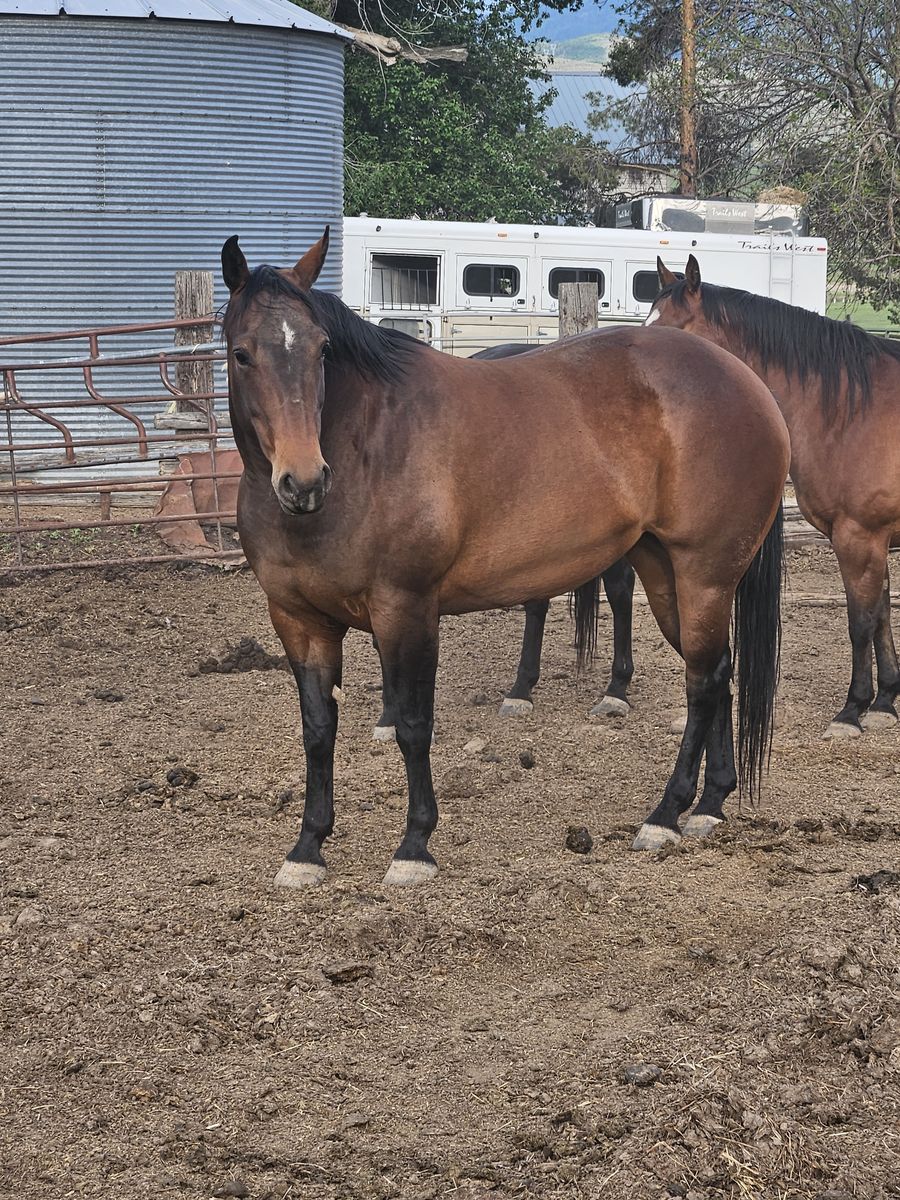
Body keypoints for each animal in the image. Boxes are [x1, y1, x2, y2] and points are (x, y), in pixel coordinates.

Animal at [221, 229, 789, 887]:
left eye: (320, 351)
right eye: (242, 354)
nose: (304, 480)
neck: (366, 445)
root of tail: (749, 384)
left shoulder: (406, 610)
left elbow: (413, 724)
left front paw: (414, 846)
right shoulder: (298, 621)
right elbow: (317, 730)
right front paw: (308, 846)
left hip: (704, 576)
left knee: (703, 684)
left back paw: (665, 814)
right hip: (668, 575)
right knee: (717, 670)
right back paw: (712, 802)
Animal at [650, 256, 900, 738]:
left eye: (676, 330)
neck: (849, 410)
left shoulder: (860, 537)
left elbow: (860, 621)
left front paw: (852, 710)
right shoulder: (872, 541)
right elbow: (880, 615)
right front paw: (884, 702)